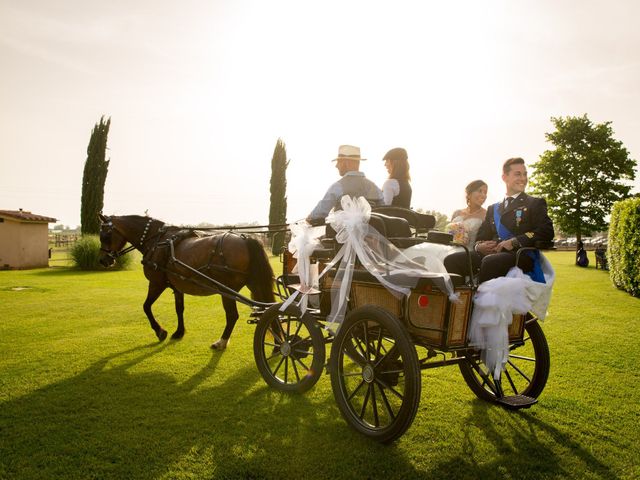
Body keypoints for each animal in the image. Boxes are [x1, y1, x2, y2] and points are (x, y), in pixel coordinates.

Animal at [98, 214, 276, 348]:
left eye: (105, 235)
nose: (103, 260)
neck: (157, 241)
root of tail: (246, 238)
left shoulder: (156, 283)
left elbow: (146, 306)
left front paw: (160, 331)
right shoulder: (177, 287)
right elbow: (179, 309)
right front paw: (179, 332)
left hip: (227, 290)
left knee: (233, 316)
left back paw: (222, 342)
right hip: (255, 284)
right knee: (267, 308)